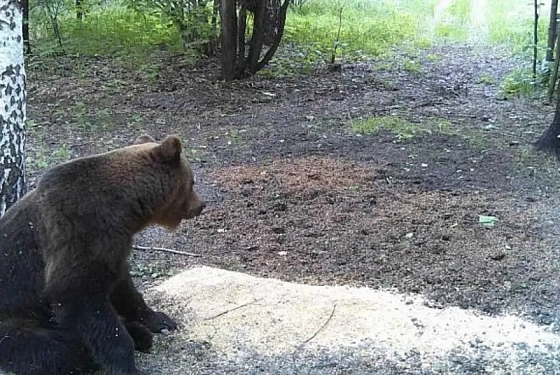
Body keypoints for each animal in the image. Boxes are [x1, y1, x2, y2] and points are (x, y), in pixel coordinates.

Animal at [0, 134, 206, 374]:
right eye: (192, 182)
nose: (201, 205)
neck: (126, 210)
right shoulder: (80, 231)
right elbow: (80, 296)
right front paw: (126, 364)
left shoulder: (113, 247)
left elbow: (123, 287)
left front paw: (160, 320)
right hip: (16, 318)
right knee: (51, 348)